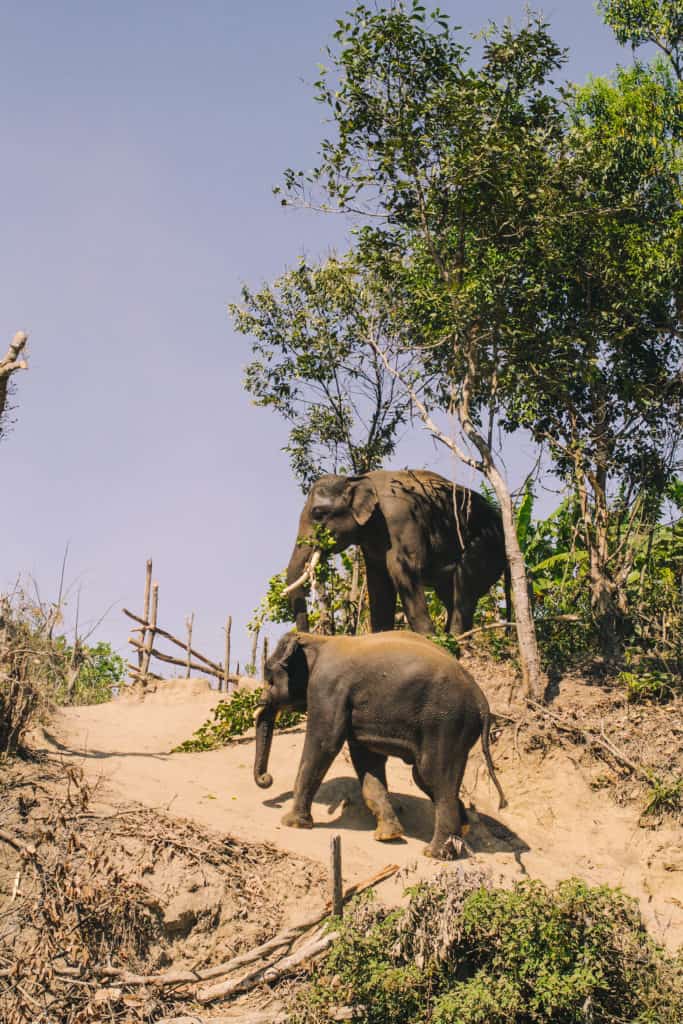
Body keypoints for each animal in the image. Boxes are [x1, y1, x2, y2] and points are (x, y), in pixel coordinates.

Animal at [253, 630, 505, 856]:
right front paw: (388, 836)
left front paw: (292, 823)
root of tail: (483, 702)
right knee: (428, 779)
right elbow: (366, 761)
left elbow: (324, 743)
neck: (317, 639)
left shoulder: (327, 690)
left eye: (269, 679)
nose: (267, 778)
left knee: (433, 775)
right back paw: (461, 832)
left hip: (447, 724)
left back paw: (433, 852)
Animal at [282, 468, 507, 630]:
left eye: (318, 514)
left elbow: (402, 570)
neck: (356, 479)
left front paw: (427, 641)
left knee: (464, 585)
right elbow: (379, 583)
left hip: (488, 542)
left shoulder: (400, 518)